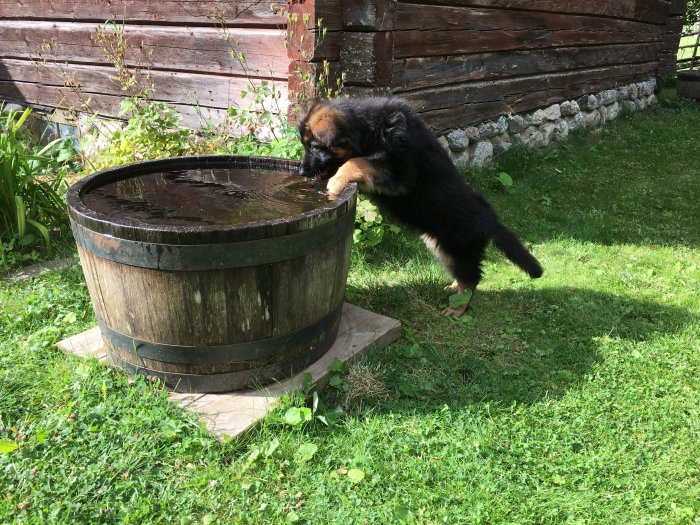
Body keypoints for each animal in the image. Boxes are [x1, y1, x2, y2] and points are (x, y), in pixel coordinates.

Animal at [296, 96, 540, 314]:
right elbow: (357, 161)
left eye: (315, 146)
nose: (301, 172)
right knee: (460, 273)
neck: (372, 130)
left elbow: (357, 162)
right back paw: (453, 287)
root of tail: (491, 219)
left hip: (461, 248)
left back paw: (458, 307)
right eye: (305, 145)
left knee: (472, 278)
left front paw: (336, 183)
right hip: (441, 245)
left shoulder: (401, 173)